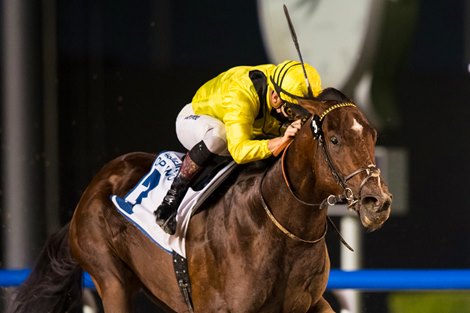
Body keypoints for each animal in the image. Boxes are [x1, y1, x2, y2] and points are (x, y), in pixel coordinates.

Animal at [8, 88, 392, 312]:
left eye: (372, 134)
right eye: (335, 139)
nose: (378, 201)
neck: (279, 226)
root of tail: (95, 186)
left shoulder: (311, 304)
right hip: (109, 277)